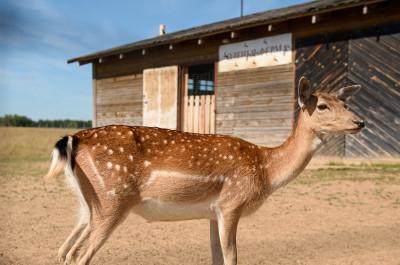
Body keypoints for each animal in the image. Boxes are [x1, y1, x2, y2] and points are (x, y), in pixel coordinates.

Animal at [45, 77, 364, 264]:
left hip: (90, 204)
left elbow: (216, 257)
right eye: (322, 106)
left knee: (65, 250)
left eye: (344, 102)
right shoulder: (232, 203)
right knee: (79, 256)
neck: (265, 169)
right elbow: (232, 257)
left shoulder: (213, 211)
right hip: (113, 199)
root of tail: (72, 139)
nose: (359, 122)